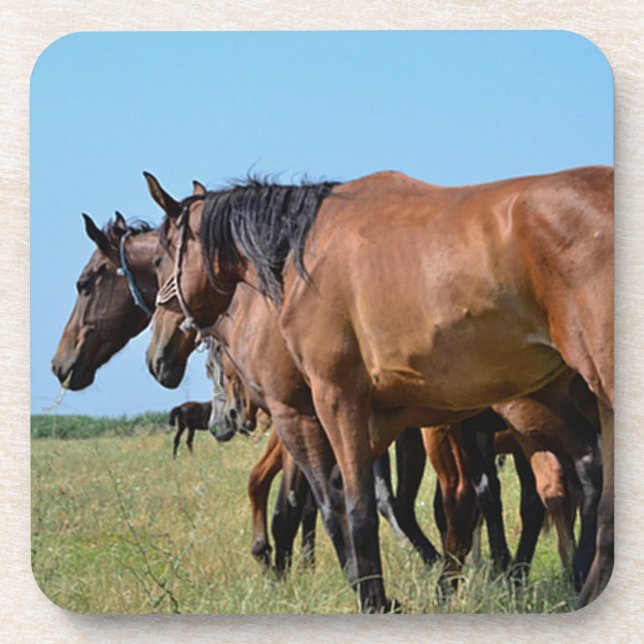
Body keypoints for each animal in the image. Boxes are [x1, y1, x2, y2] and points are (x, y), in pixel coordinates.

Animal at [145, 166, 612, 612]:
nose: (156, 357)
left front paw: (372, 597)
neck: (308, 253)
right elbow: (347, 501)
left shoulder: (326, 405)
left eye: (159, 260)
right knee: (590, 476)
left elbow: (348, 507)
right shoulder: (384, 419)